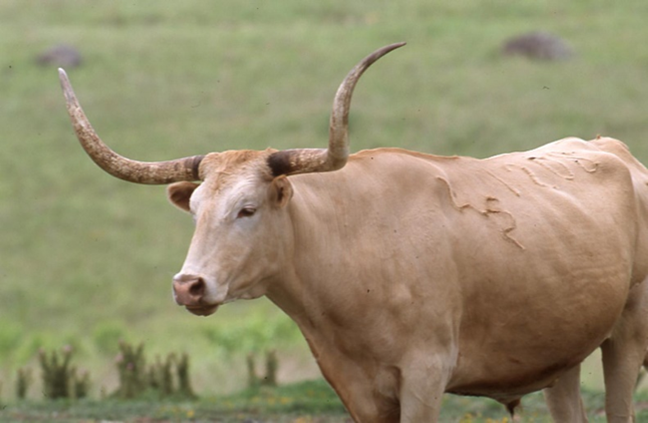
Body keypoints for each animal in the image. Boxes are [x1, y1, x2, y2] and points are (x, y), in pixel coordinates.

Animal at [58, 43, 648, 422]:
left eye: (247, 209)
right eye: (196, 209)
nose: (189, 286)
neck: (353, 253)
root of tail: (613, 149)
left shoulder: (425, 376)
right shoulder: (354, 387)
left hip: (626, 337)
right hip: (561, 352)